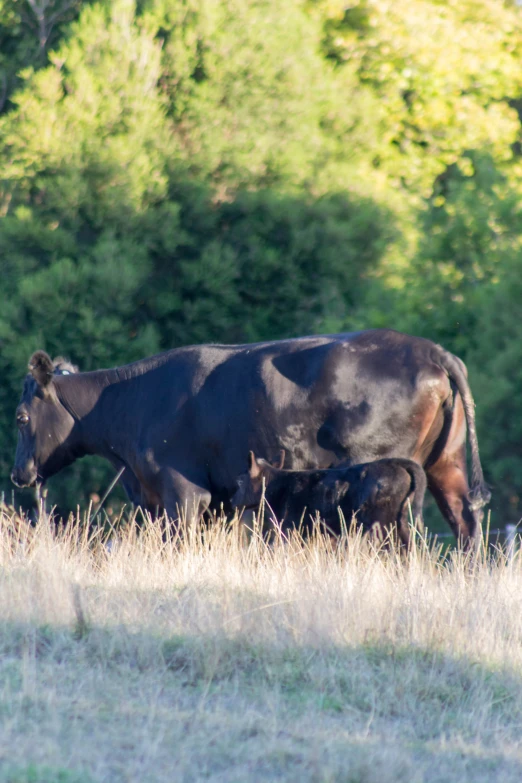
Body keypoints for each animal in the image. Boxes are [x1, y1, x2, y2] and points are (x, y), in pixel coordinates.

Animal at [230, 454, 424, 544]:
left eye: (239, 481)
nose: (232, 501)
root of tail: (394, 462)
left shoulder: (291, 529)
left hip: (382, 525)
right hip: (400, 523)